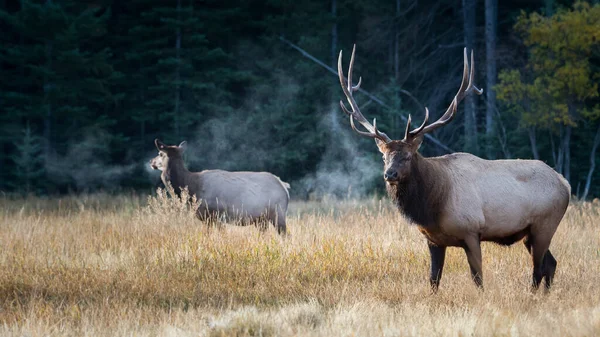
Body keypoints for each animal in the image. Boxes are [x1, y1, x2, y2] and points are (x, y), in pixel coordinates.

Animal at [150, 139, 290, 234]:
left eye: (160, 153)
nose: (151, 161)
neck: (191, 187)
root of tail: (284, 187)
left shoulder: (214, 215)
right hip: (261, 219)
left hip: (278, 213)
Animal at [340, 45, 568, 292]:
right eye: (384, 156)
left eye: (408, 156)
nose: (389, 174)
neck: (434, 204)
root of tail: (565, 183)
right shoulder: (433, 239)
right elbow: (433, 279)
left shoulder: (471, 231)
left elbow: (478, 278)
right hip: (530, 233)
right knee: (551, 264)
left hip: (545, 224)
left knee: (538, 269)